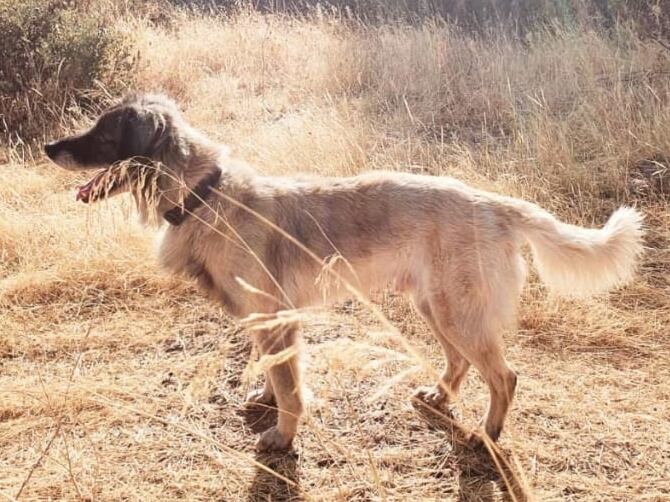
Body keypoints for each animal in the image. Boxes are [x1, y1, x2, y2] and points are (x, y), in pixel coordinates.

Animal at [44, 93, 644, 452]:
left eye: (102, 133)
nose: (49, 147)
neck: (205, 195)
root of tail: (495, 204)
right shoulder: (268, 321)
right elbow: (275, 373)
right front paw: (267, 404)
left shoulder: (276, 318)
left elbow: (290, 388)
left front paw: (282, 436)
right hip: (436, 307)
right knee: (457, 364)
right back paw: (440, 399)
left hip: (459, 313)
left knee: (505, 376)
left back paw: (487, 437)